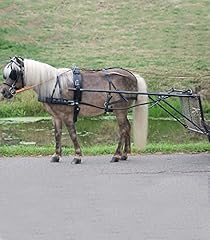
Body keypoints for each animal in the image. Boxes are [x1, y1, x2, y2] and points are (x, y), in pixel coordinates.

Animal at [1, 56, 148, 163]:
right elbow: (57, 135)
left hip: (120, 110)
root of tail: (132, 75)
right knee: (127, 127)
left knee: (123, 129)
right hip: (123, 111)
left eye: (13, 73)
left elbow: (72, 135)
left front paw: (77, 156)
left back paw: (116, 155)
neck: (54, 85)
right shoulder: (56, 117)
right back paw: (124, 154)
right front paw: (56, 155)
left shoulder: (67, 116)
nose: (3, 92)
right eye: (6, 74)